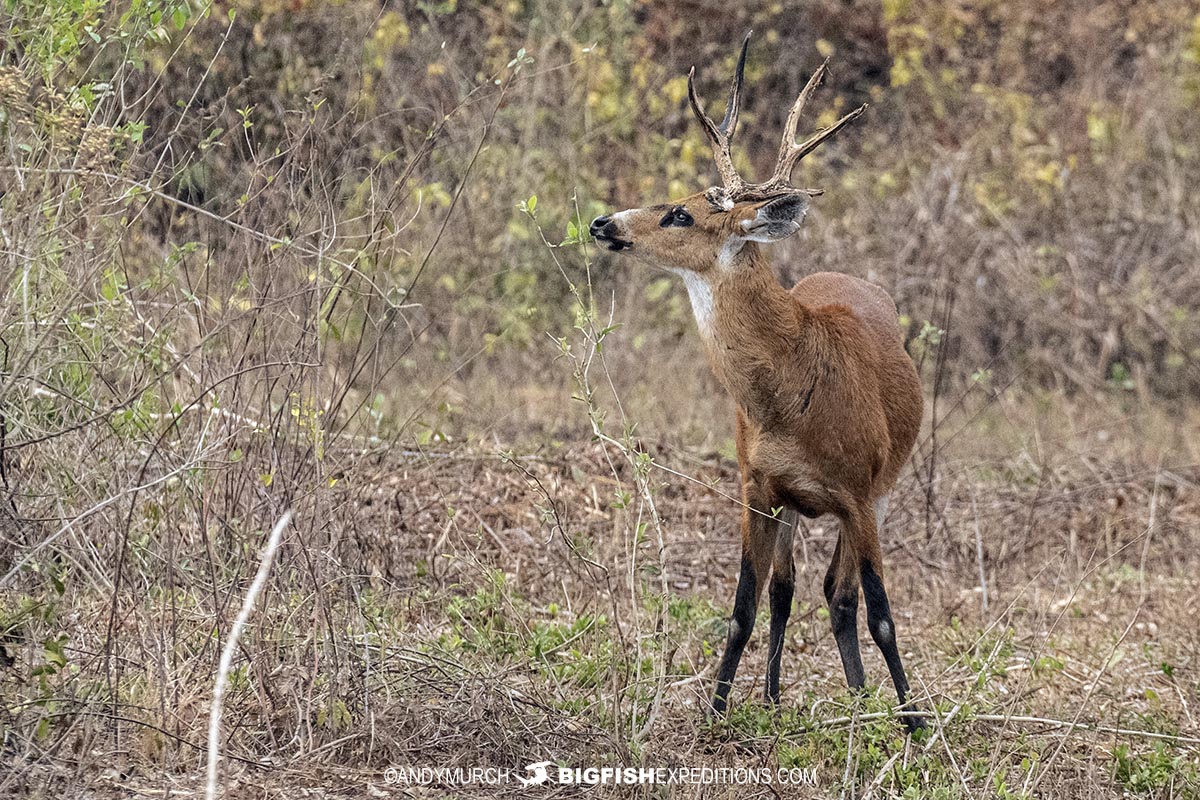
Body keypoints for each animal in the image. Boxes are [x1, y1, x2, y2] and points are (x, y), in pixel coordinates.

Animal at [590, 34, 926, 734]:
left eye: (680, 214)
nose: (603, 222)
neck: (794, 395)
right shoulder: (756, 485)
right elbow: (744, 604)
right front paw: (717, 710)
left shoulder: (861, 492)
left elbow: (881, 612)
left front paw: (915, 724)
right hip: (795, 502)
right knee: (791, 589)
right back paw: (785, 697)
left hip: (881, 489)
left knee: (840, 593)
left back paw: (862, 700)